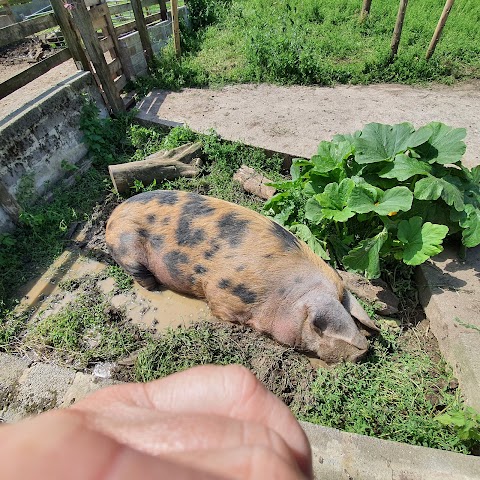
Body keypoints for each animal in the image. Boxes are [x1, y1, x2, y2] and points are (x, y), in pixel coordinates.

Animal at [105, 189, 378, 362]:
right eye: (317, 328)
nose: (363, 350)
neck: (282, 294)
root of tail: (113, 215)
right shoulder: (220, 293)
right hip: (128, 250)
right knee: (140, 275)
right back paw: (155, 287)